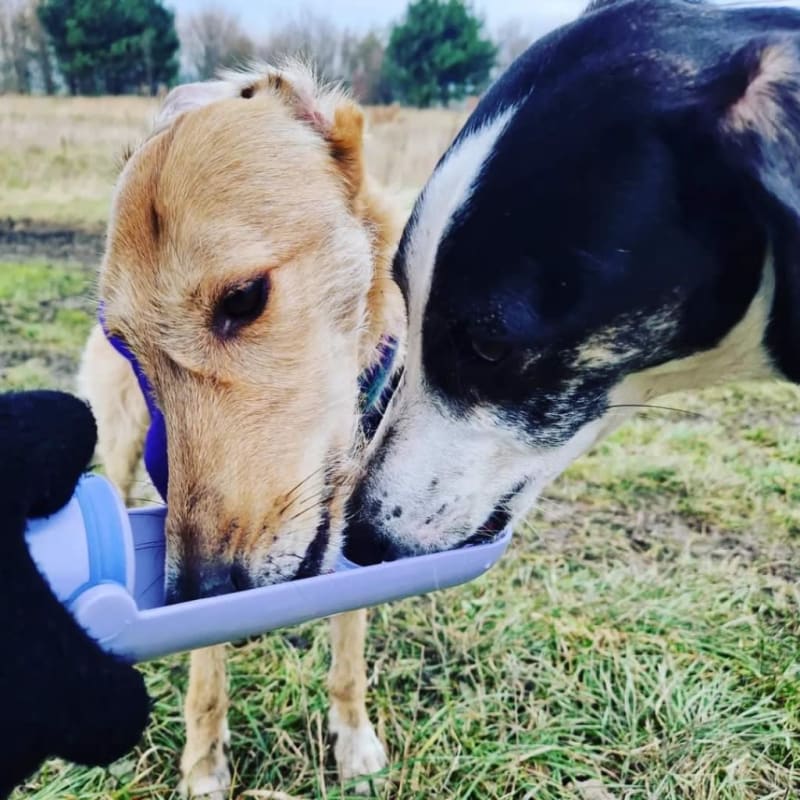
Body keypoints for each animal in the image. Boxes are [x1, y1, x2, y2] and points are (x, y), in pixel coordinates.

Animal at [77, 64, 404, 800]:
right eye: (126, 341)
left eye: (244, 298)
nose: (198, 591)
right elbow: (205, 674)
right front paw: (203, 766)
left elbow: (350, 645)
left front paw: (355, 741)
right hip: (118, 445)